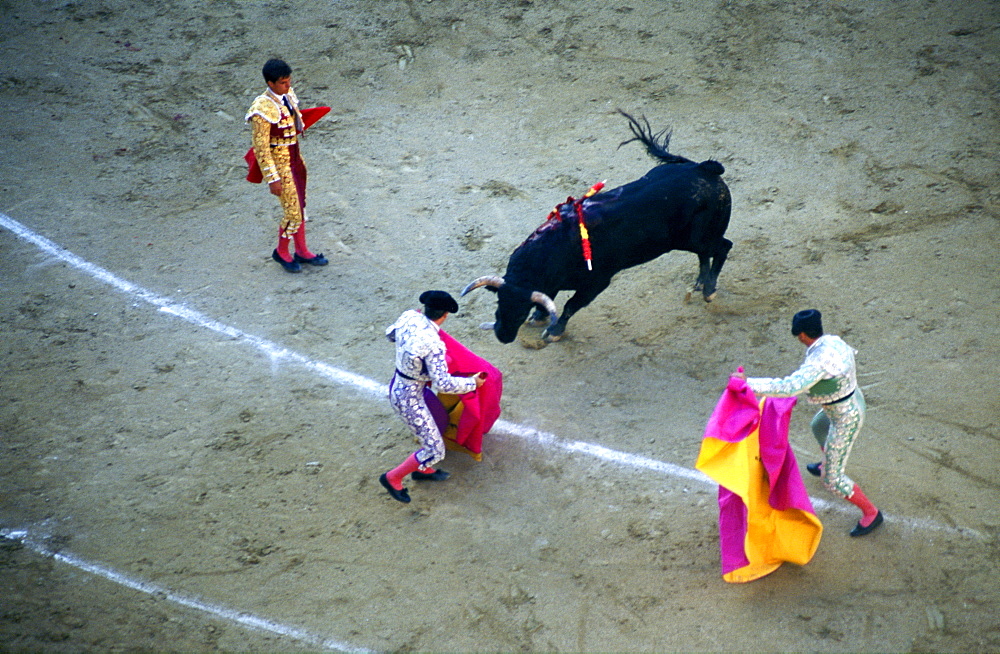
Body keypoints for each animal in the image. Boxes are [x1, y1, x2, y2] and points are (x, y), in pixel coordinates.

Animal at [462, 111, 736, 348]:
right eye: (499, 302)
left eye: (520, 310)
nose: (503, 336)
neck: (552, 251)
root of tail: (703, 167)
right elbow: (550, 297)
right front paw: (540, 316)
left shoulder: (597, 283)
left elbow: (570, 305)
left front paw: (554, 331)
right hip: (691, 239)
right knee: (705, 254)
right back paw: (700, 283)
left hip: (700, 237)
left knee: (723, 247)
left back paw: (709, 290)